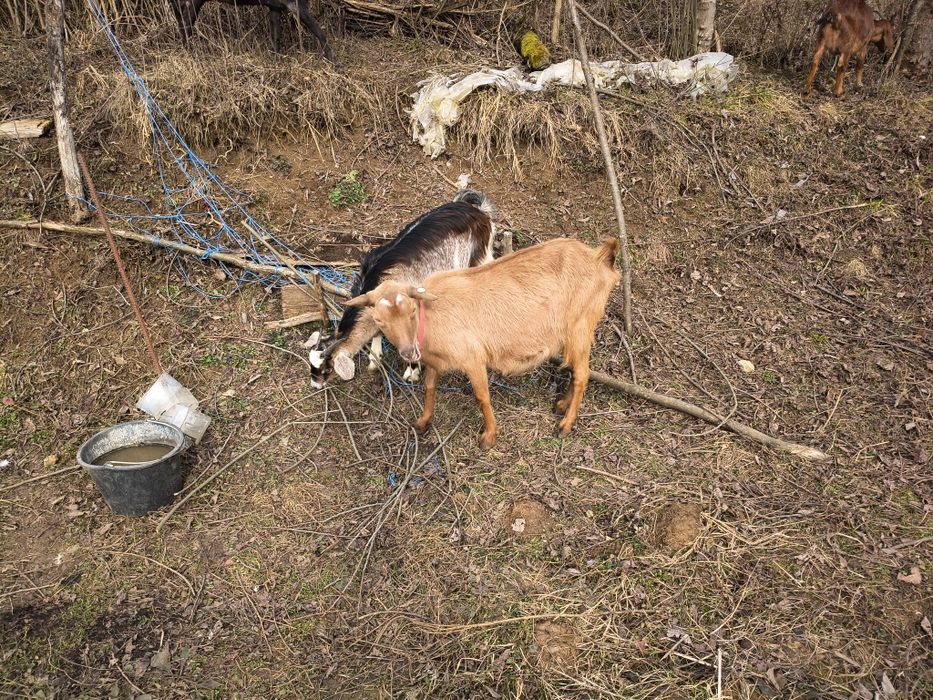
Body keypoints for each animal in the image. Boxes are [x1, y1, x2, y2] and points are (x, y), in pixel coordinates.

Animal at [169, 0, 334, 61]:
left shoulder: (275, 7)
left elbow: (276, 36)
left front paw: (276, 60)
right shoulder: (297, 5)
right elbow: (321, 34)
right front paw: (335, 64)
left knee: (182, 21)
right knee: (186, 24)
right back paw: (191, 53)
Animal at [308, 190, 495, 389]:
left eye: (327, 369)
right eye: (312, 366)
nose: (315, 385)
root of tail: (479, 211)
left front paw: (412, 372)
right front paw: (375, 359)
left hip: (479, 257)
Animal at [346, 237, 620, 449]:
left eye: (412, 310)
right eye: (379, 320)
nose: (409, 352)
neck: (430, 318)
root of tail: (599, 259)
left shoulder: (472, 358)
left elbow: (482, 396)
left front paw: (489, 437)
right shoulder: (435, 361)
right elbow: (429, 387)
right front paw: (423, 422)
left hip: (581, 324)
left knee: (583, 373)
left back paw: (566, 424)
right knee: (577, 368)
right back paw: (562, 404)